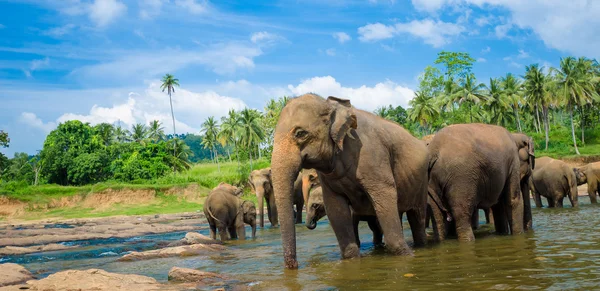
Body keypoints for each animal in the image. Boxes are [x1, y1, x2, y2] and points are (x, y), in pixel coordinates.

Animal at [272, 93, 432, 270]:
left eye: (300, 133)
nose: (295, 265)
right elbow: (336, 209)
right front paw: (351, 260)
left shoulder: (372, 155)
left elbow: (385, 195)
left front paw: (406, 256)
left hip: (422, 181)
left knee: (417, 218)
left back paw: (420, 247)